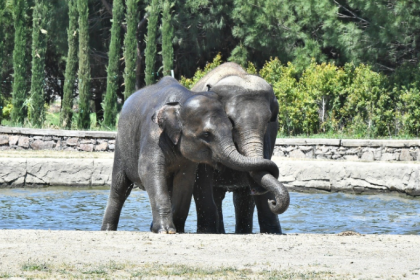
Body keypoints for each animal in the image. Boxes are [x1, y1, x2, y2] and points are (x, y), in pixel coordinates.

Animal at [100, 76, 280, 234]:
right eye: (206, 135)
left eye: (269, 123)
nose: (273, 201)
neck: (182, 101)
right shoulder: (153, 134)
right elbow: (149, 171)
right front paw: (166, 231)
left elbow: (186, 179)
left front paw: (176, 229)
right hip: (121, 145)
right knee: (119, 188)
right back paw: (108, 229)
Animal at [192, 61, 290, 234]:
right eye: (230, 120)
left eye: (269, 121)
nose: (274, 202)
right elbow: (201, 181)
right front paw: (206, 231)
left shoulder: (269, 137)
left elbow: (259, 176)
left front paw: (273, 231)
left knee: (241, 199)